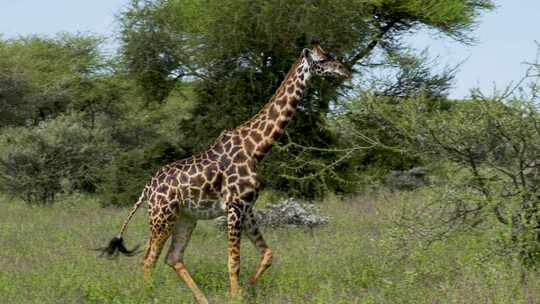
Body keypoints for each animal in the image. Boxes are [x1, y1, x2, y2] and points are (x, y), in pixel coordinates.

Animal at [98, 40, 350, 304]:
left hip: (185, 218)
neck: (256, 148)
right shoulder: (234, 206)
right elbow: (233, 261)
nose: (345, 71)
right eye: (323, 60)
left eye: (330, 55)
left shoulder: (247, 207)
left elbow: (267, 254)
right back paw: (150, 297)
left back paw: (203, 299)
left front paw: (243, 292)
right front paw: (235, 295)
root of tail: (147, 189)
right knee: (148, 260)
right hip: (161, 217)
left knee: (173, 257)